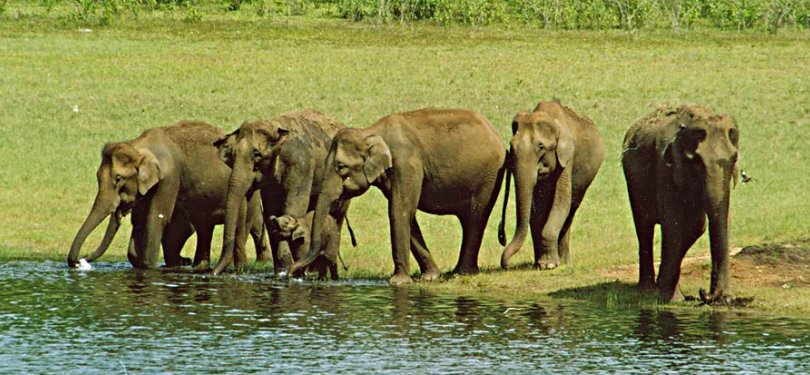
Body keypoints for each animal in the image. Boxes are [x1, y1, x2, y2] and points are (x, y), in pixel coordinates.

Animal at [66, 121, 268, 270]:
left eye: (118, 179)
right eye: (97, 177)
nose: (80, 261)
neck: (138, 145)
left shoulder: (169, 178)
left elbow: (156, 218)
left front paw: (150, 267)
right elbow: (140, 221)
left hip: (247, 195)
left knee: (241, 226)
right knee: (204, 227)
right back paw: (197, 267)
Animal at [208, 108, 348, 276]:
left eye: (257, 154)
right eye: (232, 156)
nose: (212, 273)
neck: (273, 125)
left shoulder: (301, 164)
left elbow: (293, 207)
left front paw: (285, 271)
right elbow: (270, 212)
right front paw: (281, 271)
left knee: (336, 216)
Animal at [288, 107, 504, 284]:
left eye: (341, 166)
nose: (291, 274)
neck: (370, 132)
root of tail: (494, 131)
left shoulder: (406, 163)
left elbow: (398, 210)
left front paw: (398, 282)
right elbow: (407, 214)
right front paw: (430, 277)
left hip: (488, 177)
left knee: (475, 218)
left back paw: (463, 273)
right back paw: (457, 272)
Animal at [496, 100, 604, 270]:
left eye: (541, 147)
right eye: (511, 146)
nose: (506, 265)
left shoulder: (567, 157)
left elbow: (561, 203)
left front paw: (549, 265)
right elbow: (536, 211)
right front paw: (541, 264)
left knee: (571, 210)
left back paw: (564, 262)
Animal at [620, 104, 740, 304]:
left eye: (735, 158)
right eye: (697, 162)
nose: (705, 293)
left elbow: (702, 224)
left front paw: (726, 299)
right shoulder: (665, 168)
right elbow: (675, 225)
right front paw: (672, 299)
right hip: (633, 181)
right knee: (644, 226)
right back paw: (647, 290)